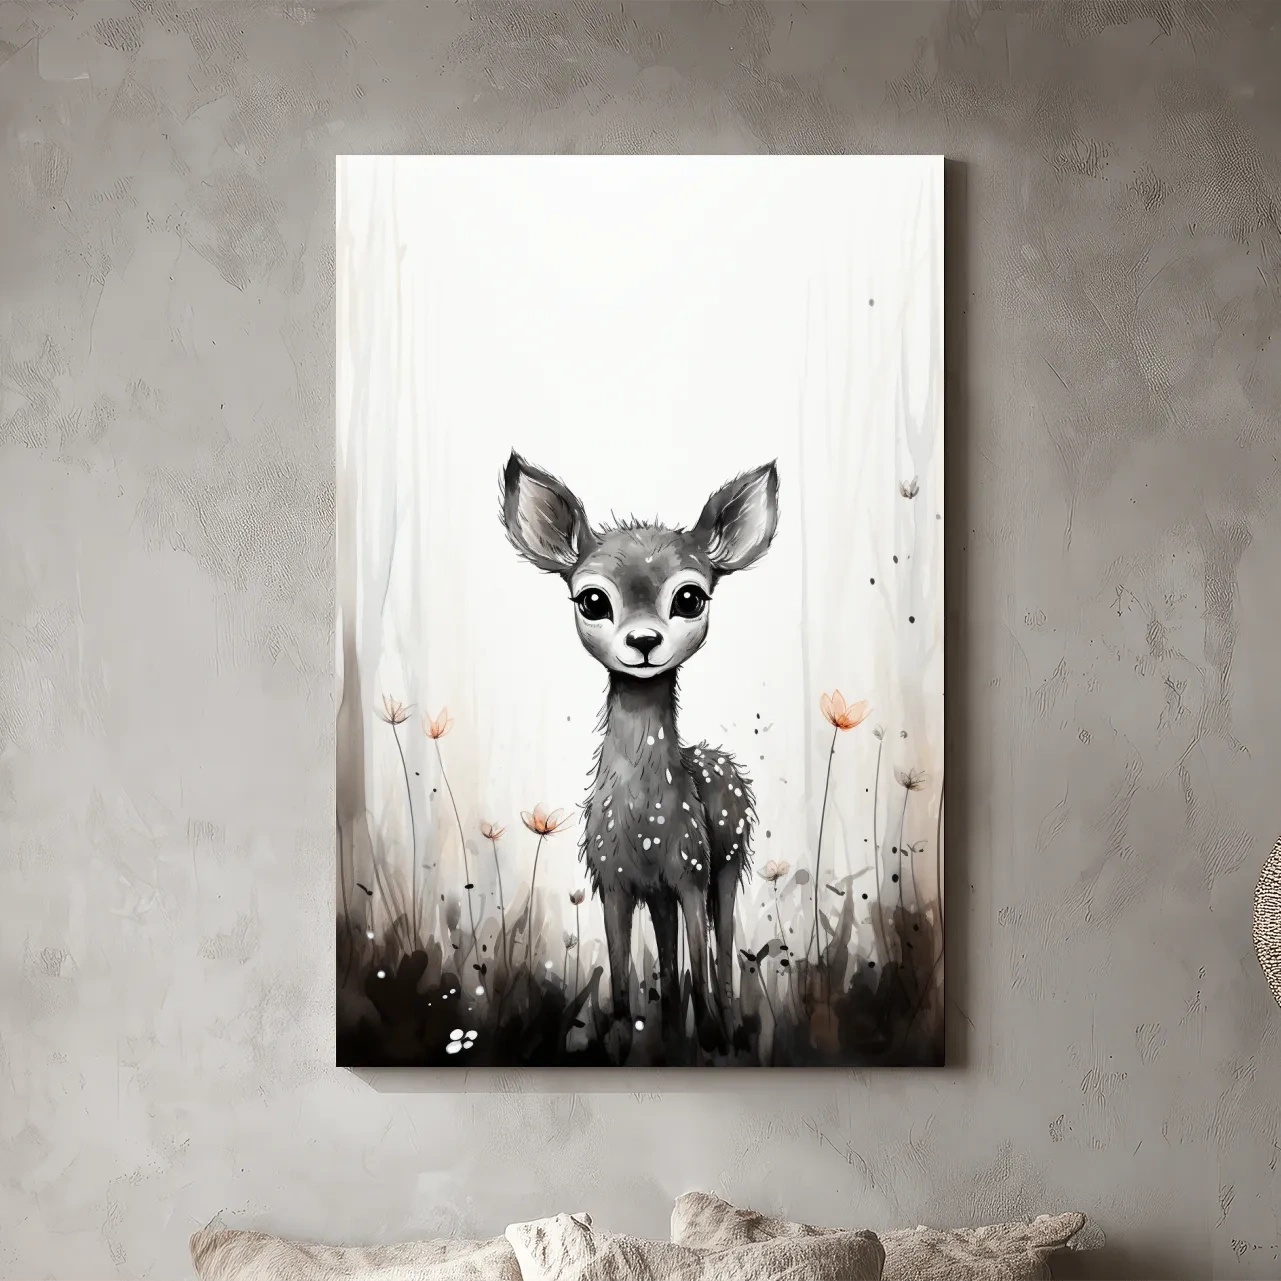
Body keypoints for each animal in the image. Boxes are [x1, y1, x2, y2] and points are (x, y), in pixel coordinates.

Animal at [500, 451, 780, 1056]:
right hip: (662, 892)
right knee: (670, 962)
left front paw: (711, 1039)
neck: (645, 821)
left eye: (690, 597)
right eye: (592, 599)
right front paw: (625, 1040)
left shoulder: (692, 870)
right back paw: (672, 1033)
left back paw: (723, 1030)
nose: (645, 642)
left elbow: (701, 960)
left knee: (720, 954)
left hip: (727, 861)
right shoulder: (614, 881)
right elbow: (625, 981)